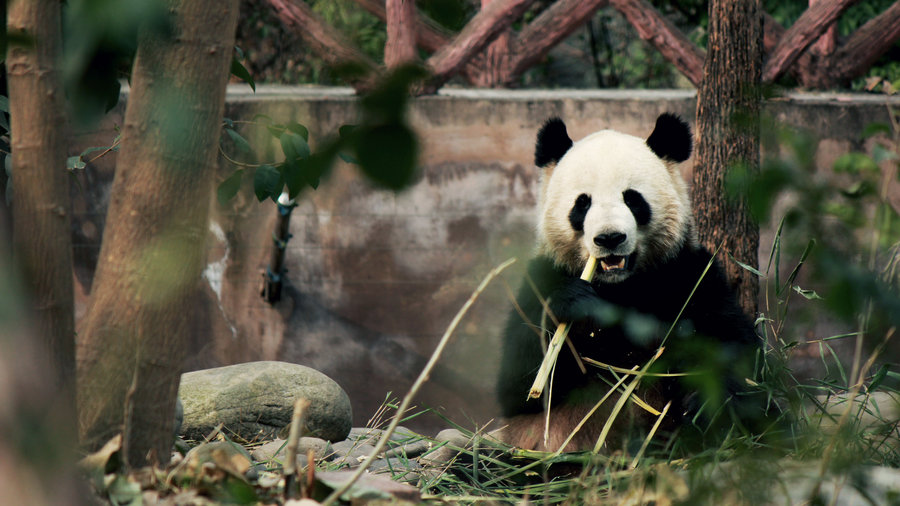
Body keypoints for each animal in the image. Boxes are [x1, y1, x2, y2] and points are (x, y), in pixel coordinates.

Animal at [496, 112, 764, 452]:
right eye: (582, 204)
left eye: (633, 199)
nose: (610, 238)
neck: (619, 287)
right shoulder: (540, 278)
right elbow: (519, 389)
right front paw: (575, 303)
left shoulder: (688, 274)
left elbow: (738, 350)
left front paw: (707, 403)